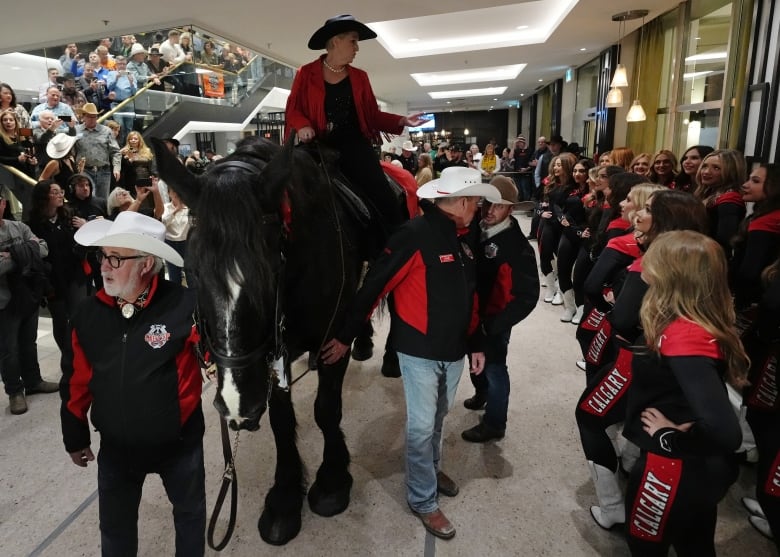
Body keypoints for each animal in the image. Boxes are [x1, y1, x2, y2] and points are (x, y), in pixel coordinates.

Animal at [154, 137, 364, 544]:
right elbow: (282, 421)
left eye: (271, 270)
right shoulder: (271, 358)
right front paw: (284, 498)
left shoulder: (332, 339)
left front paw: (332, 481)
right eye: (193, 271)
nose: (237, 406)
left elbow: (326, 408)